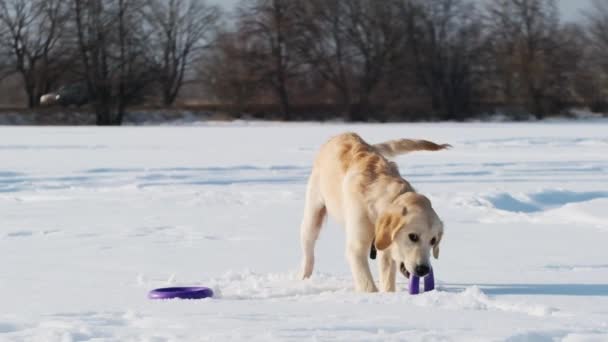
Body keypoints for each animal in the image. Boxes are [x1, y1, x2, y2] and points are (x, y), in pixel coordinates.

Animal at [296, 132, 448, 292]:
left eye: (433, 240)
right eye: (413, 236)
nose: (423, 269)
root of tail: (344, 133)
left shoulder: (386, 249)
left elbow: (387, 279)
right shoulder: (356, 248)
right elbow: (367, 285)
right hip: (312, 216)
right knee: (308, 253)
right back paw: (303, 278)